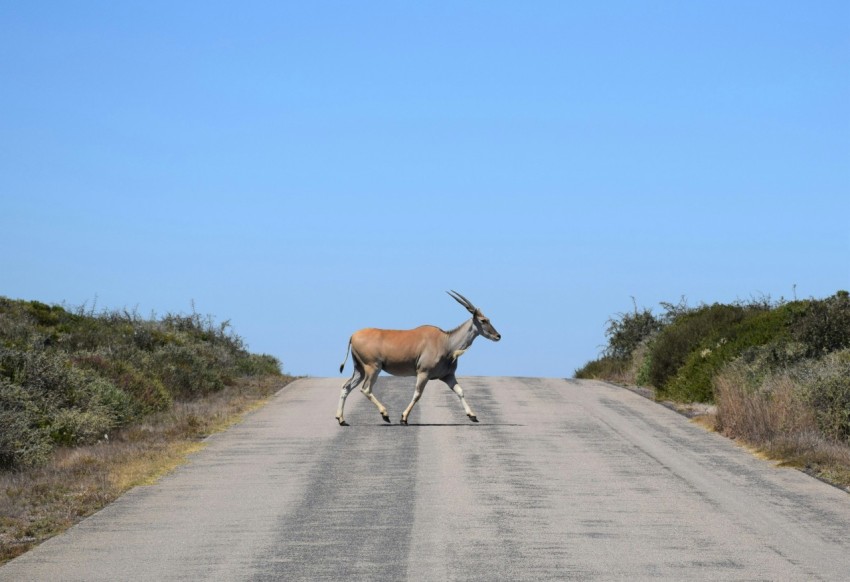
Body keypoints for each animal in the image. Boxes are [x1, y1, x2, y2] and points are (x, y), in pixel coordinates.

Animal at [334, 290, 500, 424]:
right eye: (483, 320)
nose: (498, 336)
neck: (446, 342)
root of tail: (353, 336)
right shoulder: (423, 373)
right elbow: (417, 394)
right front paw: (403, 418)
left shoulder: (448, 376)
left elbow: (460, 391)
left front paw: (472, 416)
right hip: (373, 368)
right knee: (366, 389)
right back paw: (385, 414)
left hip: (360, 370)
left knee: (346, 387)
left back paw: (341, 419)